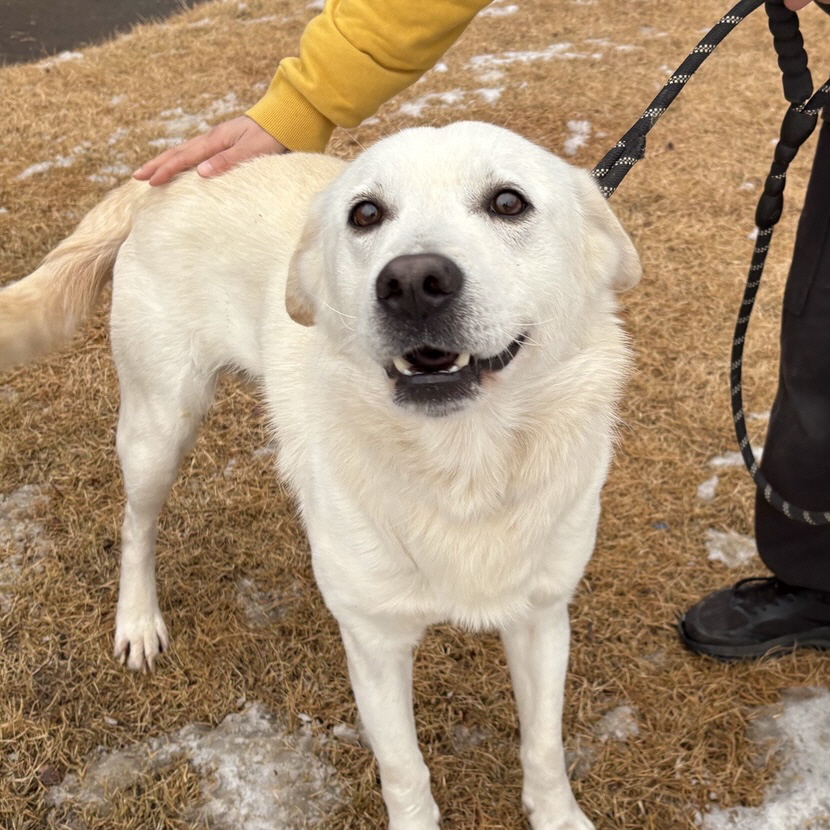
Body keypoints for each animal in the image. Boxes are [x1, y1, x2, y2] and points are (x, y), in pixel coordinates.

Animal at [0, 123, 644, 830]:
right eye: (365, 214)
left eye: (508, 203)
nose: (412, 282)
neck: (463, 461)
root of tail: (169, 177)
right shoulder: (373, 641)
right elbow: (405, 772)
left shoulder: (542, 617)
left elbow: (544, 748)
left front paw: (558, 815)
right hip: (160, 423)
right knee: (136, 526)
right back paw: (138, 621)